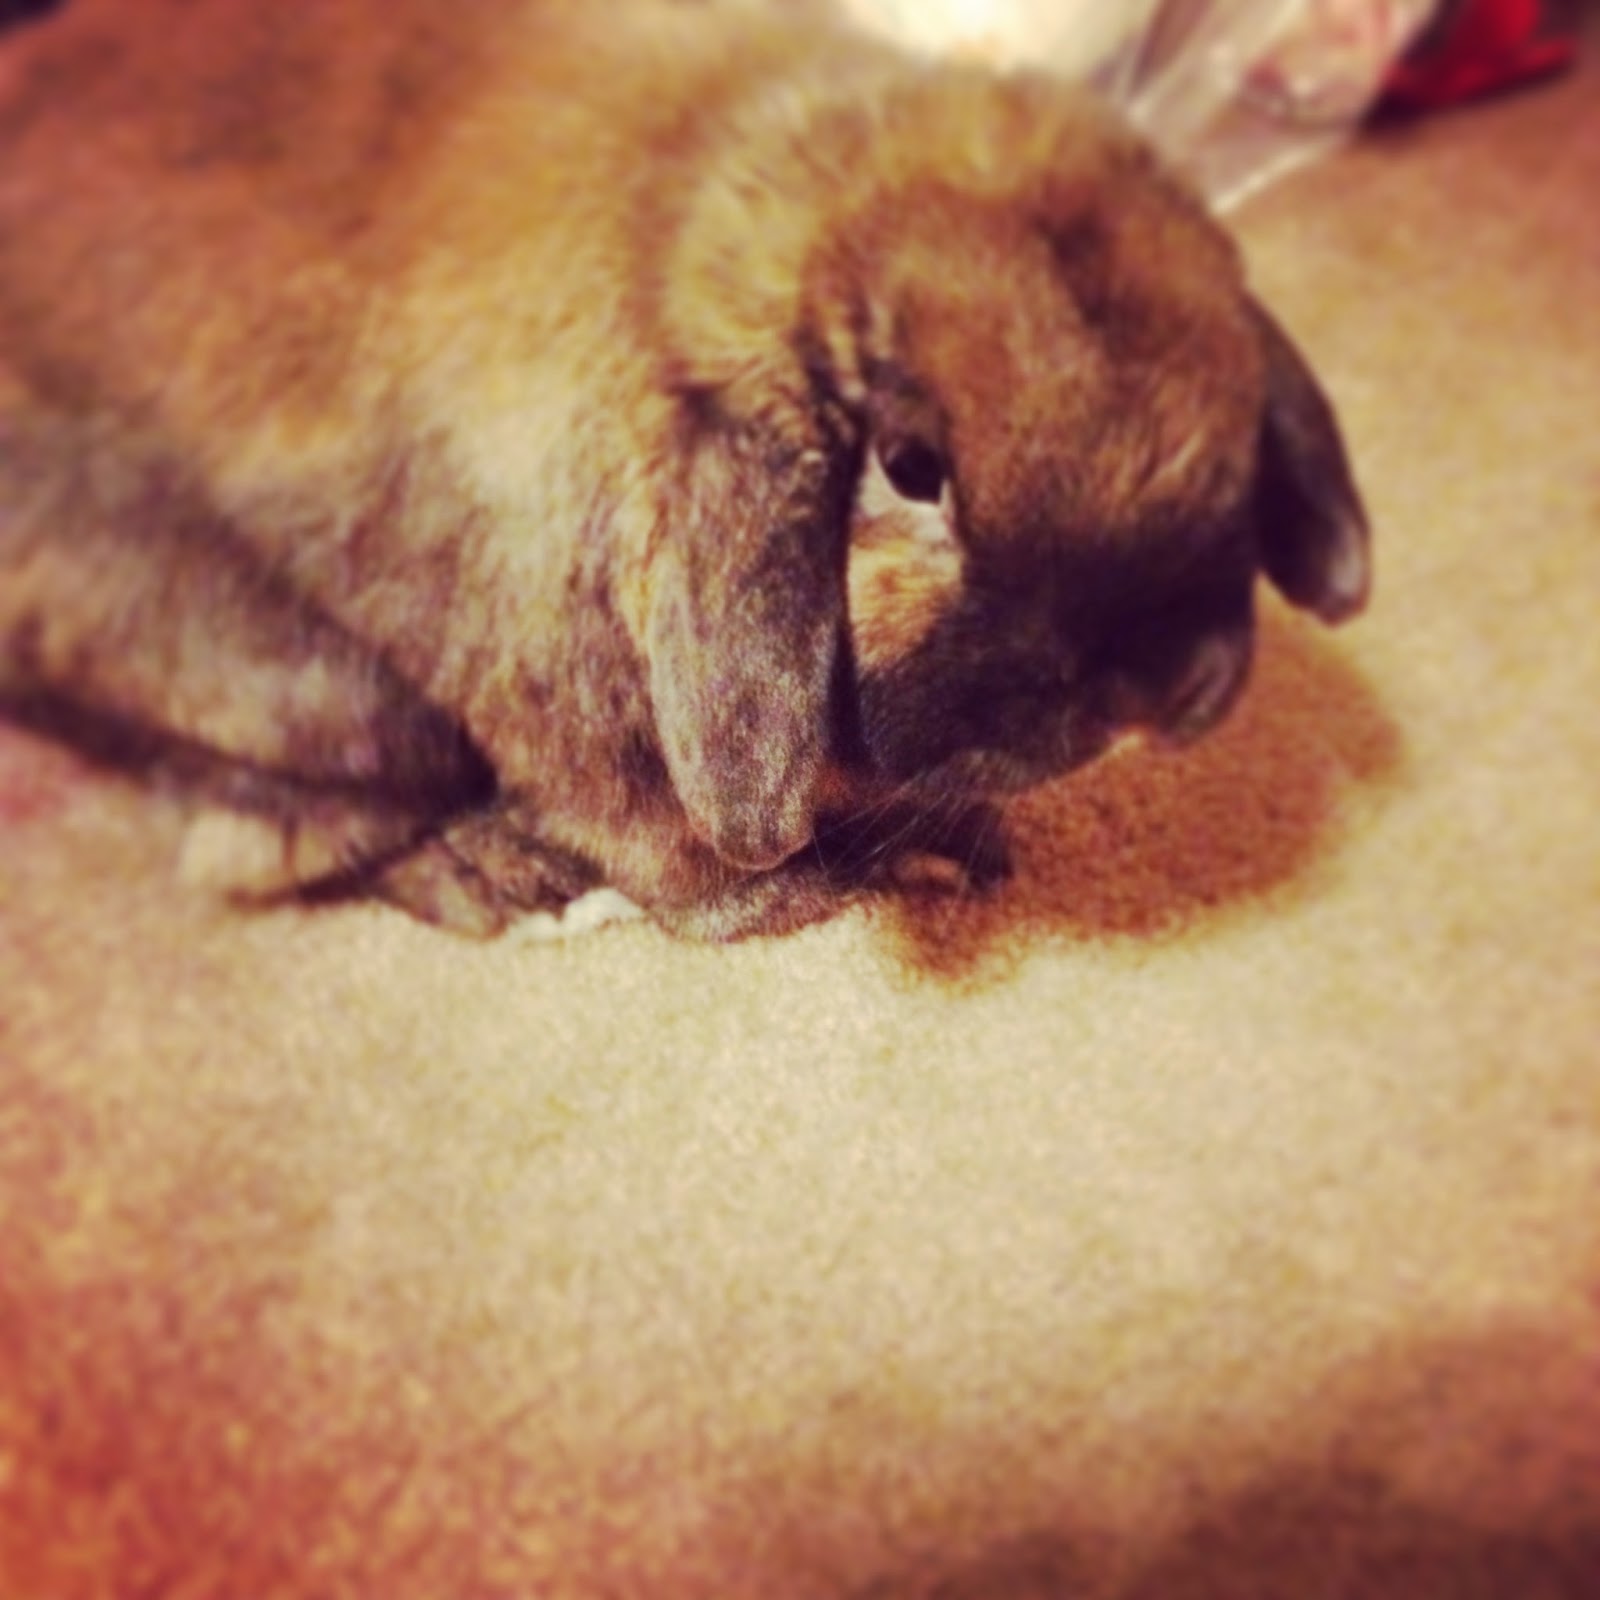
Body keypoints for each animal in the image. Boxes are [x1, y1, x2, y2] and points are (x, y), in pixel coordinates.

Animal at [0, 0, 1370, 940]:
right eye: (910, 468)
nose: (1164, 691)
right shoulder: (576, 726)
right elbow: (697, 872)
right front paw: (894, 871)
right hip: (346, 704)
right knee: (259, 848)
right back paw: (506, 878)